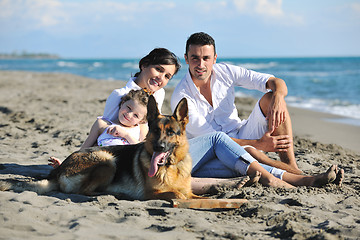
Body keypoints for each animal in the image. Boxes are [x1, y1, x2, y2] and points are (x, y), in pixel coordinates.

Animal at [0, 95, 201, 201]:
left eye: (171, 132)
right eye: (156, 131)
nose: (159, 147)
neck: (172, 167)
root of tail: (58, 170)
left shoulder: (189, 191)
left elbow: (194, 196)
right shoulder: (151, 193)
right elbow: (177, 194)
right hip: (107, 160)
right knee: (84, 191)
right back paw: (114, 193)